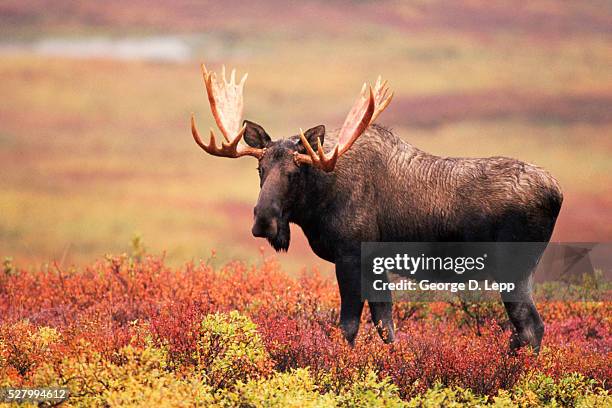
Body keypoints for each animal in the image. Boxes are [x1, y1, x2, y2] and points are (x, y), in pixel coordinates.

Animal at [191, 65, 564, 352]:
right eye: (260, 168)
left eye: (295, 172)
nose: (264, 222)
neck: (319, 203)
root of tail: (557, 193)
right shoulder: (377, 266)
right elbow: (386, 326)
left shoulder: (351, 257)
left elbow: (348, 326)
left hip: (514, 268)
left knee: (530, 326)